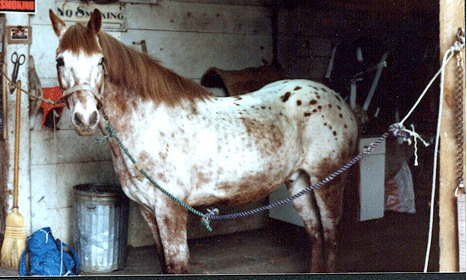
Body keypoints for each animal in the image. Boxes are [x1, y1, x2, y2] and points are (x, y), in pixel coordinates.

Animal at [49, 9, 358, 274]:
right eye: (60, 61)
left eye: (100, 61)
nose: (85, 118)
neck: (149, 123)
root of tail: (339, 101)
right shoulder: (148, 211)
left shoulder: (171, 210)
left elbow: (177, 266)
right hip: (299, 182)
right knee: (315, 234)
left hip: (329, 182)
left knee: (331, 236)